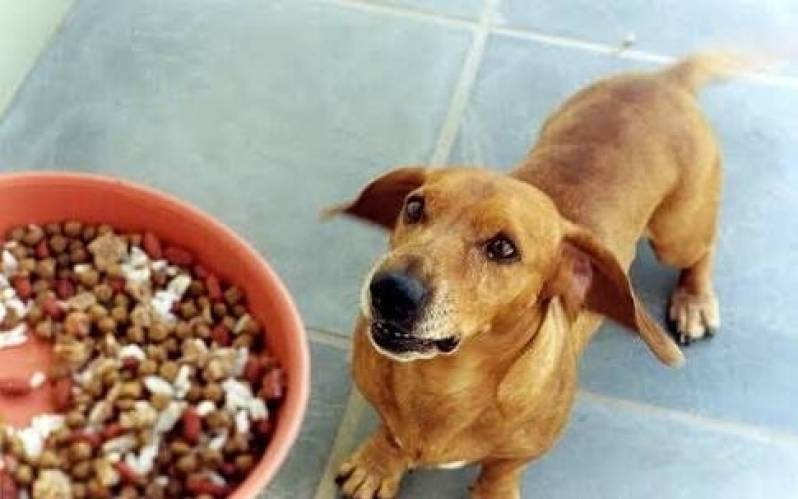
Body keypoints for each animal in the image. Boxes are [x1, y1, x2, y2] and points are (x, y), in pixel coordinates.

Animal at [326, 53, 732, 496]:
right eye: (414, 207)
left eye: (504, 248)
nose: (390, 290)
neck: (442, 383)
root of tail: (665, 80)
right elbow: (391, 432)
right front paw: (379, 463)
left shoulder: (524, 450)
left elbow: (501, 469)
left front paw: (492, 491)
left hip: (678, 234)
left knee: (703, 249)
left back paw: (694, 301)